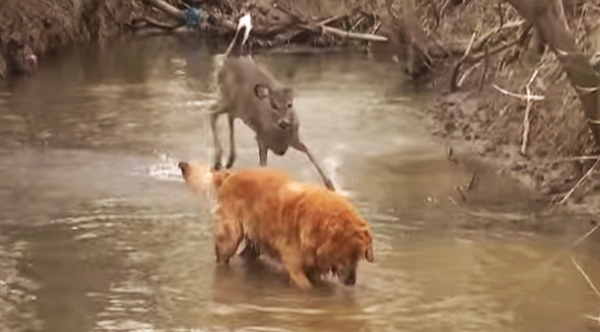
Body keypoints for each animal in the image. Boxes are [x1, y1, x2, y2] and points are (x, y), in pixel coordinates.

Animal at [209, 13, 336, 191]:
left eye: (290, 104)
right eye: (273, 105)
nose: (283, 122)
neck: (279, 136)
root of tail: (232, 56)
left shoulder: (294, 139)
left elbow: (309, 151)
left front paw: (330, 184)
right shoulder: (261, 139)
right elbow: (264, 167)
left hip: (235, 106)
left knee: (227, 117)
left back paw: (229, 159)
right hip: (227, 97)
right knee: (212, 112)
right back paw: (219, 161)